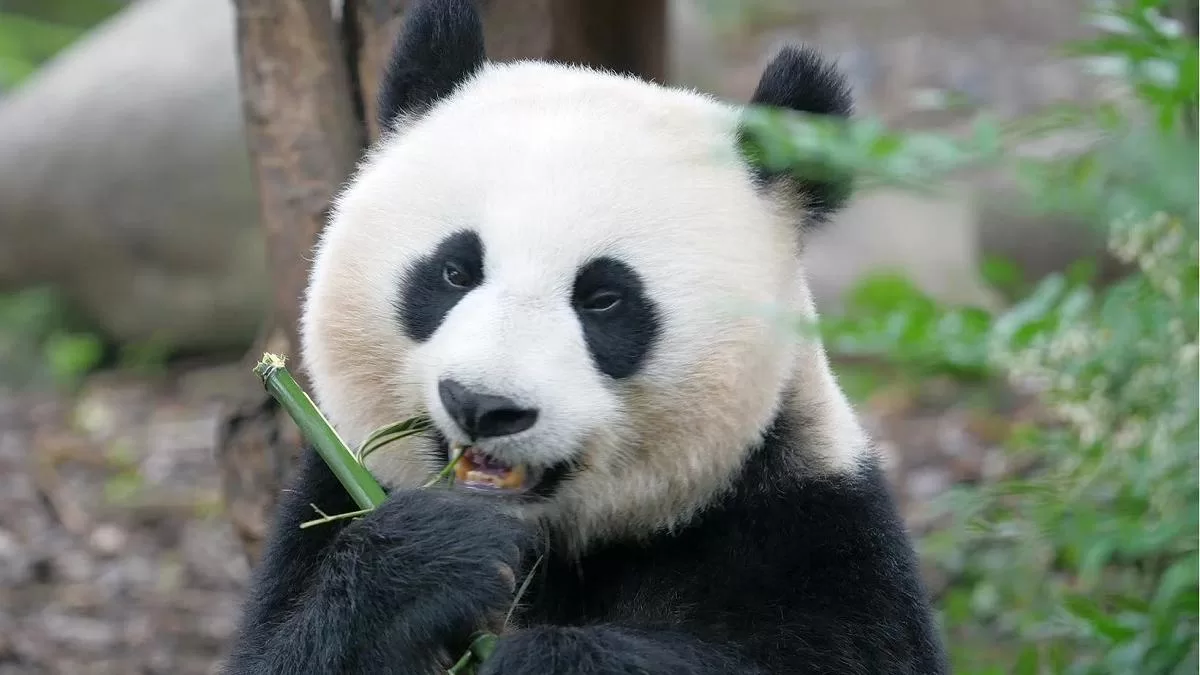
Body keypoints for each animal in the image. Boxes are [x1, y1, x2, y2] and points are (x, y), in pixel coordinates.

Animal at [222, 0, 948, 673]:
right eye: (455, 271)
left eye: (603, 299)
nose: (483, 406)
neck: (549, 545)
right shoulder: (329, 498)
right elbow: (281, 647)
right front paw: (427, 559)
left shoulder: (809, 528)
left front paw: (545, 656)